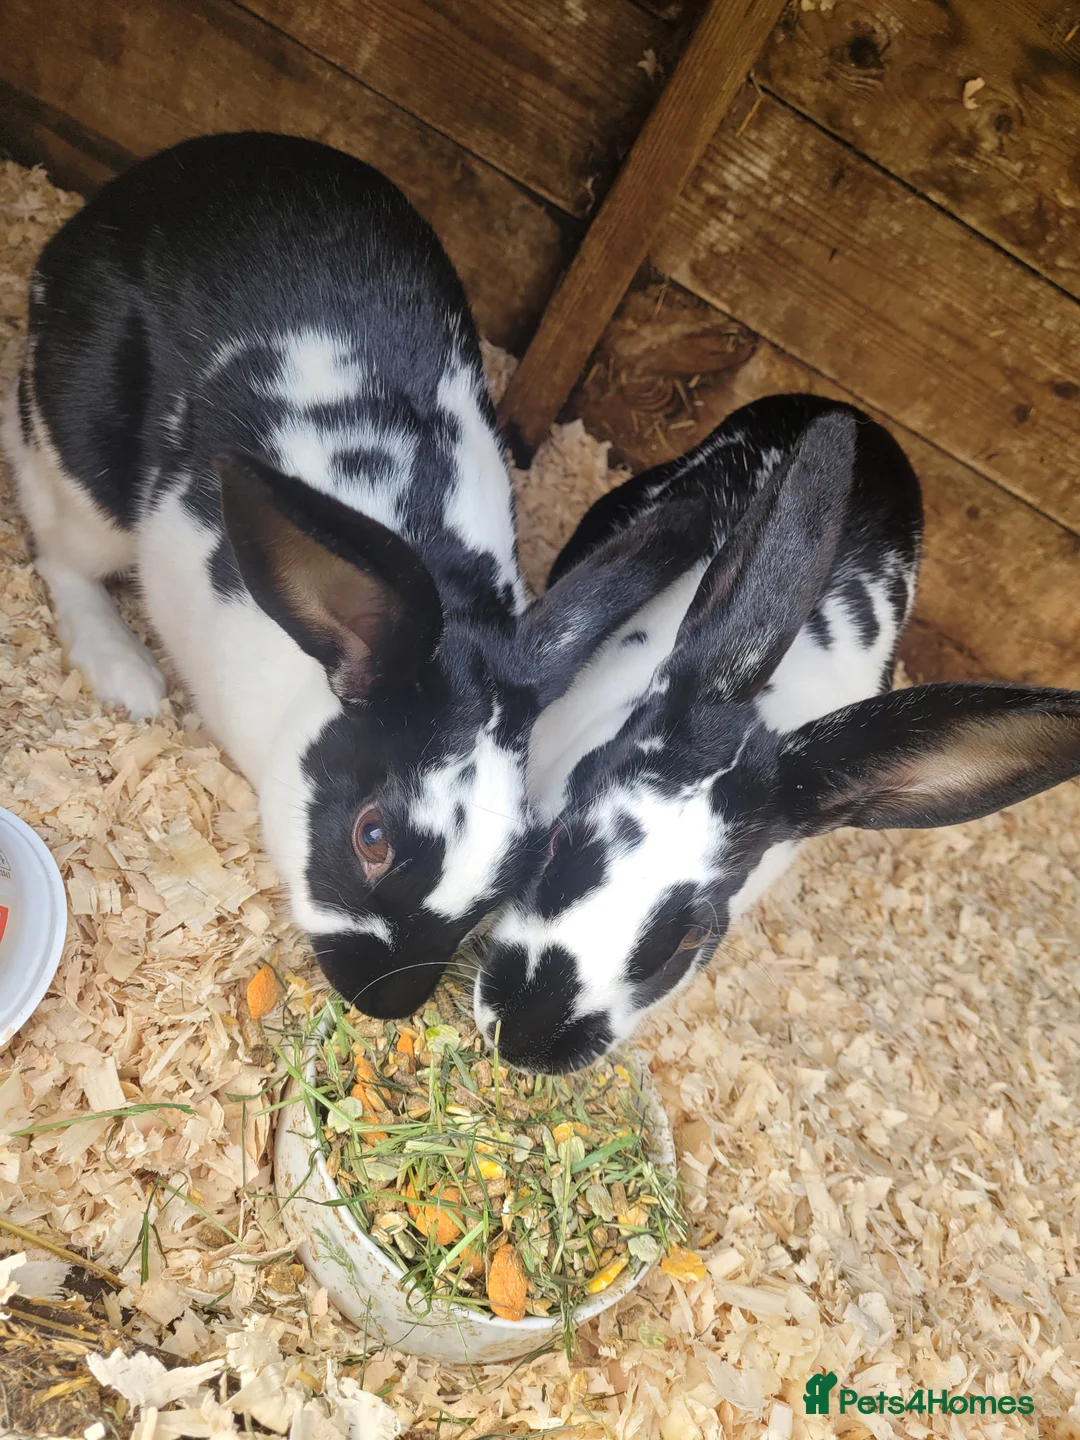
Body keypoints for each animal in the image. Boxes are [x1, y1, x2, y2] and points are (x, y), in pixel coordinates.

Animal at [3, 132, 714, 1018]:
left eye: (514, 869)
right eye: (370, 836)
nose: (383, 1001)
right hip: (82, 462)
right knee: (58, 544)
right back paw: (125, 674)